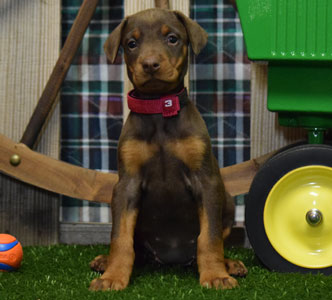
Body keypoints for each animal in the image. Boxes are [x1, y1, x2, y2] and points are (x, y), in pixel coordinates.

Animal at [89, 8, 248, 292]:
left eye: (172, 39)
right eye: (132, 43)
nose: (150, 64)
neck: (158, 110)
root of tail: (173, 258)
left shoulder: (206, 181)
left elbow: (209, 237)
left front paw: (215, 275)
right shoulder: (126, 185)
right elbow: (120, 237)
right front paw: (112, 277)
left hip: (227, 201)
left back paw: (230, 264)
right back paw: (104, 261)